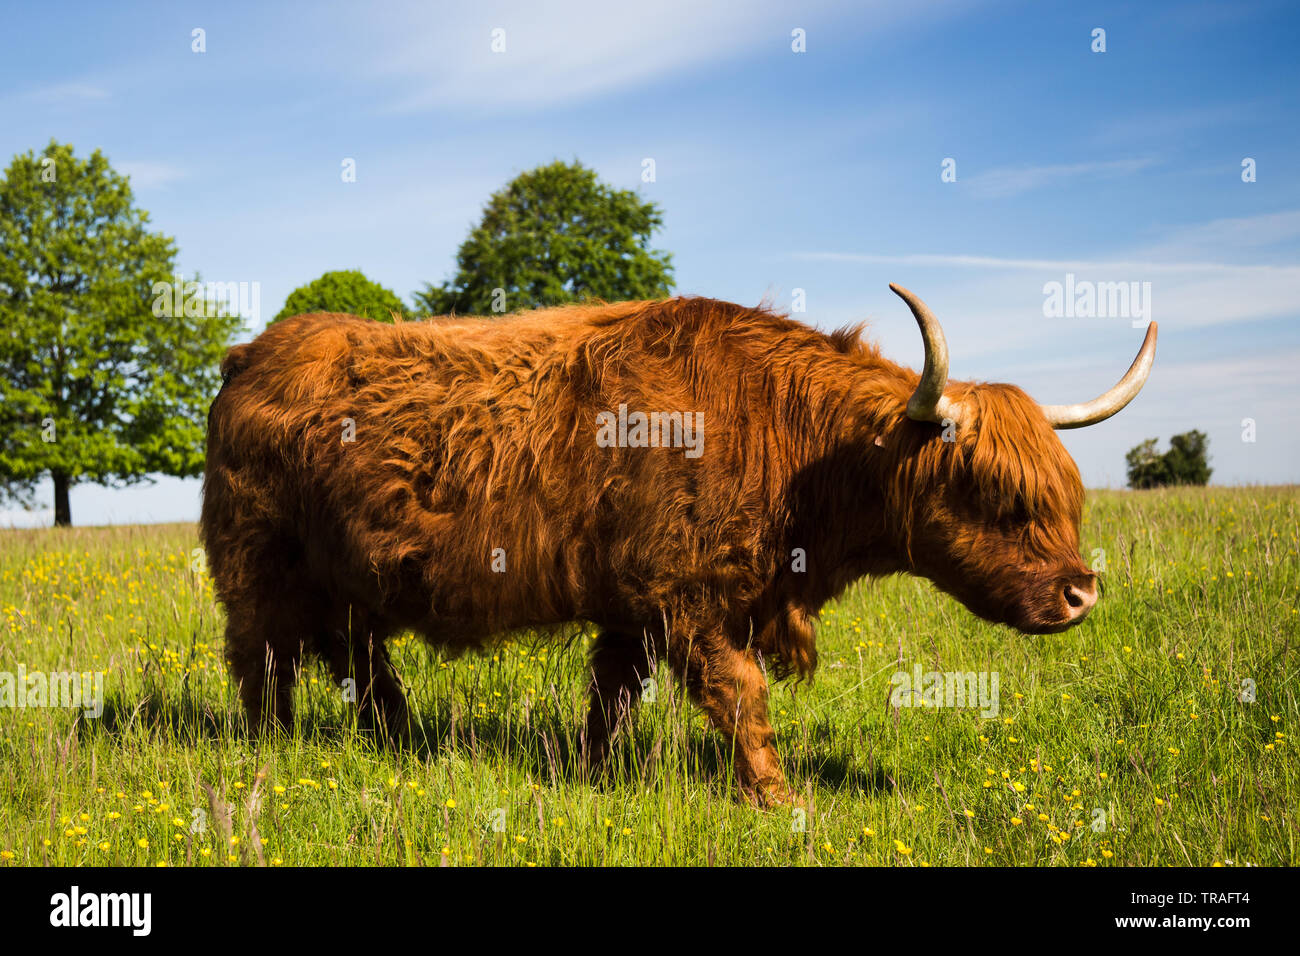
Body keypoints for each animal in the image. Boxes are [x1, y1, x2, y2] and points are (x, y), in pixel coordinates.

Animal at [200, 286, 1159, 806]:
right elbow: (741, 694)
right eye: (995, 494)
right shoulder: (686, 597)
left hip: (348, 576)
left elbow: (612, 699)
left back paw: (404, 743)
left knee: (356, 655)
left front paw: (591, 776)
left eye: (1067, 498)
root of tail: (253, 351)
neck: (786, 439)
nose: (1081, 592)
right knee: (261, 660)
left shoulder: (633, 610)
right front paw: (778, 799)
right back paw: (270, 749)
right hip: (256, 565)